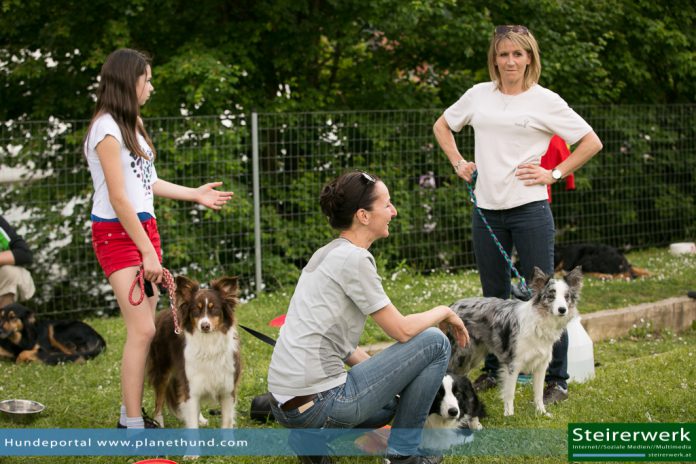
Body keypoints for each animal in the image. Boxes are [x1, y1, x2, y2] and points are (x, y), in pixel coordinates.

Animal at [446, 268, 580, 416]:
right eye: (551, 296)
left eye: (566, 297)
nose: (562, 310)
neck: (539, 322)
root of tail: (451, 306)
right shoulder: (513, 364)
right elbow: (510, 393)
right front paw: (509, 415)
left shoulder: (541, 365)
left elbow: (538, 393)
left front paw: (542, 412)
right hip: (460, 356)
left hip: (472, 356)